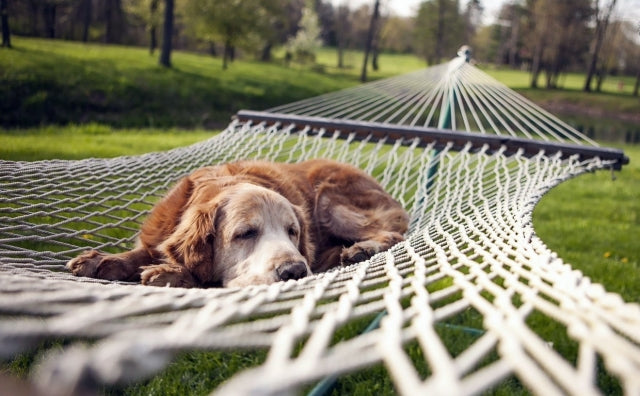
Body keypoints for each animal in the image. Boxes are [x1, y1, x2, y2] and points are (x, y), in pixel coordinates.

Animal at [67, 159, 408, 288]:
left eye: (292, 232)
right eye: (246, 233)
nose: (294, 271)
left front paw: (171, 274)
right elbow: (144, 251)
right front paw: (103, 260)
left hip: (329, 200)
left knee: (394, 234)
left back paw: (361, 248)